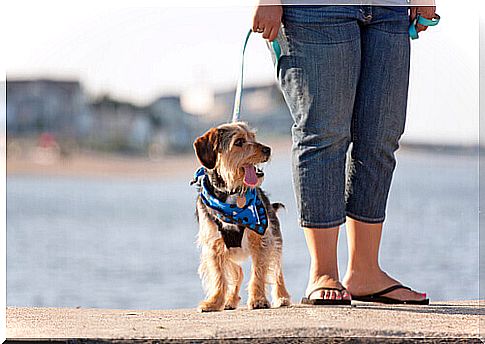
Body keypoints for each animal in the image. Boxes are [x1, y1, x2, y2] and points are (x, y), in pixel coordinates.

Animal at [192, 123, 292, 312]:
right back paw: (230, 300)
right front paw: (214, 301)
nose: (268, 149)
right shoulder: (213, 246)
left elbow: (258, 271)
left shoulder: (262, 240)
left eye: (253, 137)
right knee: (237, 273)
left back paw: (282, 297)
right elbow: (218, 276)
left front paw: (258, 299)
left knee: (277, 270)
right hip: (231, 255)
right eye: (239, 142)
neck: (232, 194)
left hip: (275, 240)